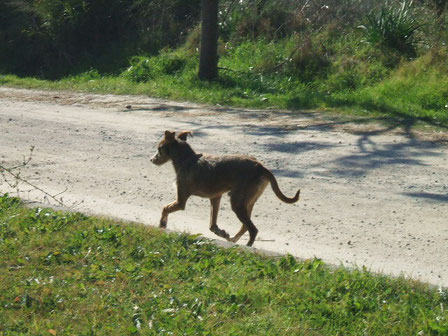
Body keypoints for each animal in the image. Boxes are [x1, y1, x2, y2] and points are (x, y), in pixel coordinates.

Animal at [150, 130, 300, 245]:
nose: (151, 160)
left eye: (159, 148)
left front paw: (162, 224)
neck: (187, 159)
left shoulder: (181, 201)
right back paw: (233, 239)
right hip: (247, 202)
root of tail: (260, 166)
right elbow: (212, 225)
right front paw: (221, 232)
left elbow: (165, 208)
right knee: (245, 226)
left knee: (253, 229)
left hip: (237, 203)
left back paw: (247, 247)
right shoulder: (215, 198)